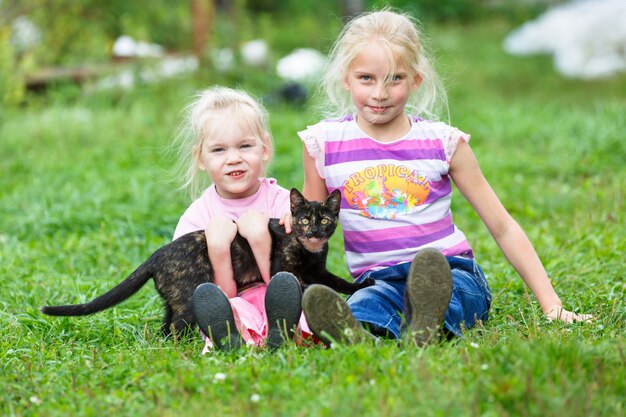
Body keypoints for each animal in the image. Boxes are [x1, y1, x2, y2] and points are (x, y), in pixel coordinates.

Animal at [42, 188, 370, 338]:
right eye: (303, 220)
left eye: (324, 220)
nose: (313, 231)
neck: (310, 251)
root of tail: (156, 255)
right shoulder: (284, 269)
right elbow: (308, 284)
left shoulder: (318, 270)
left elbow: (337, 282)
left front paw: (361, 284)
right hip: (188, 299)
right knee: (175, 328)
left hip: (173, 300)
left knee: (166, 327)